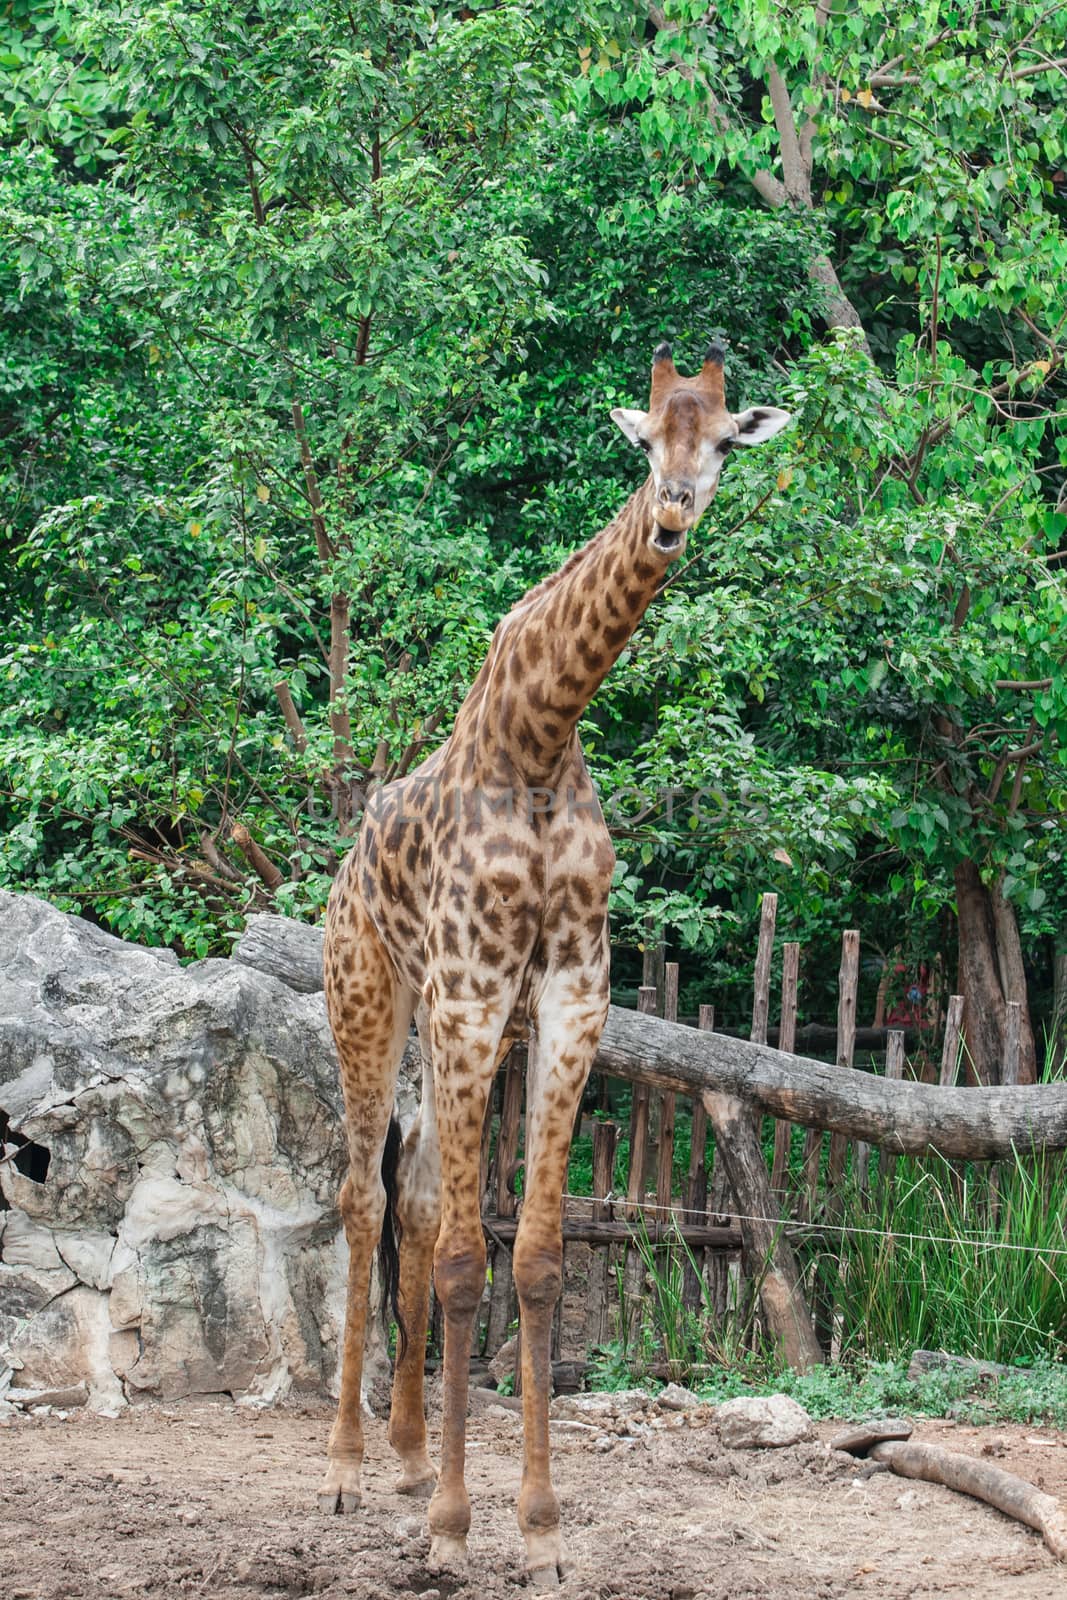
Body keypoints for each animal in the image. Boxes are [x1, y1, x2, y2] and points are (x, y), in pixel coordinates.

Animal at [313, 340, 790, 1587]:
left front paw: (534, 1529)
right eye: (647, 440)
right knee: (360, 1199)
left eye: (722, 444)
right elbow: (468, 1262)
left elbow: (529, 1258)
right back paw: (344, 1470)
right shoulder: (476, 992)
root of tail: (337, 877)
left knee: (417, 1203)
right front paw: (452, 1528)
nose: (669, 516)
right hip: (371, 1000)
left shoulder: (572, 998)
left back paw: (406, 1455)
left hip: (439, 1034)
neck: (540, 732)